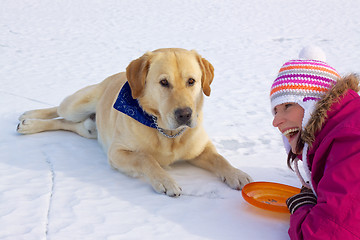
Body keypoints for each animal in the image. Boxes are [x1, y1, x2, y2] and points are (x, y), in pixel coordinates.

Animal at [17, 47, 253, 196]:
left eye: (191, 81)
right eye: (164, 82)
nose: (185, 114)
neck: (167, 134)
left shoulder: (201, 148)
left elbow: (220, 159)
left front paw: (237, 174)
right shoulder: (117, 152)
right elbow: (145, 158)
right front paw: (165, 181)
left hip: (89, 128)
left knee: (68, 125)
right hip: (76, 105)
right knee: (57, 110)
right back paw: (29, 118)